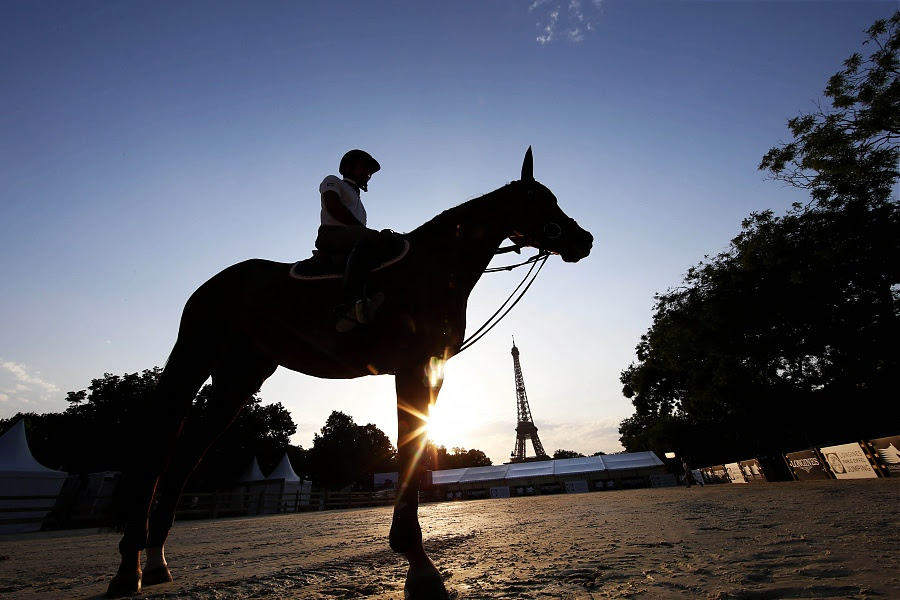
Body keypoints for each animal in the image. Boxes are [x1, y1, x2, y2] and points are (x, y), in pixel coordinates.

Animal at [107, 146, 592, 600]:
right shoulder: (412, 367)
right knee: (158, 443)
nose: (583, 239)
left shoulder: (430, 372)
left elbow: (416, 448)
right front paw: (419, 566)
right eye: (541, 199)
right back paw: (129, 566)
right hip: (192, 359)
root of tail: (213, 283)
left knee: (188, 452)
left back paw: (155, 558)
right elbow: (408, 449)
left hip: (238, 378)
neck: (434, 268)